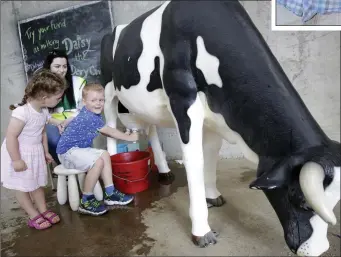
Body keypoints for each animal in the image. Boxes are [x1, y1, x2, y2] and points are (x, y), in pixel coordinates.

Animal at [99, 1, 338, 255]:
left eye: (335, 202)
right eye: (302, 201)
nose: (320, 249)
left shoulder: (213, 115)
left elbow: (211, 155)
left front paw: (212, 195)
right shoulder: (183, 102)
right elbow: (195, 161)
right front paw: (201, 231)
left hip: (145, 106)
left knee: (152, 130)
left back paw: (164, 172)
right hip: (108, 92)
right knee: (110, 129)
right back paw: (114, 181)